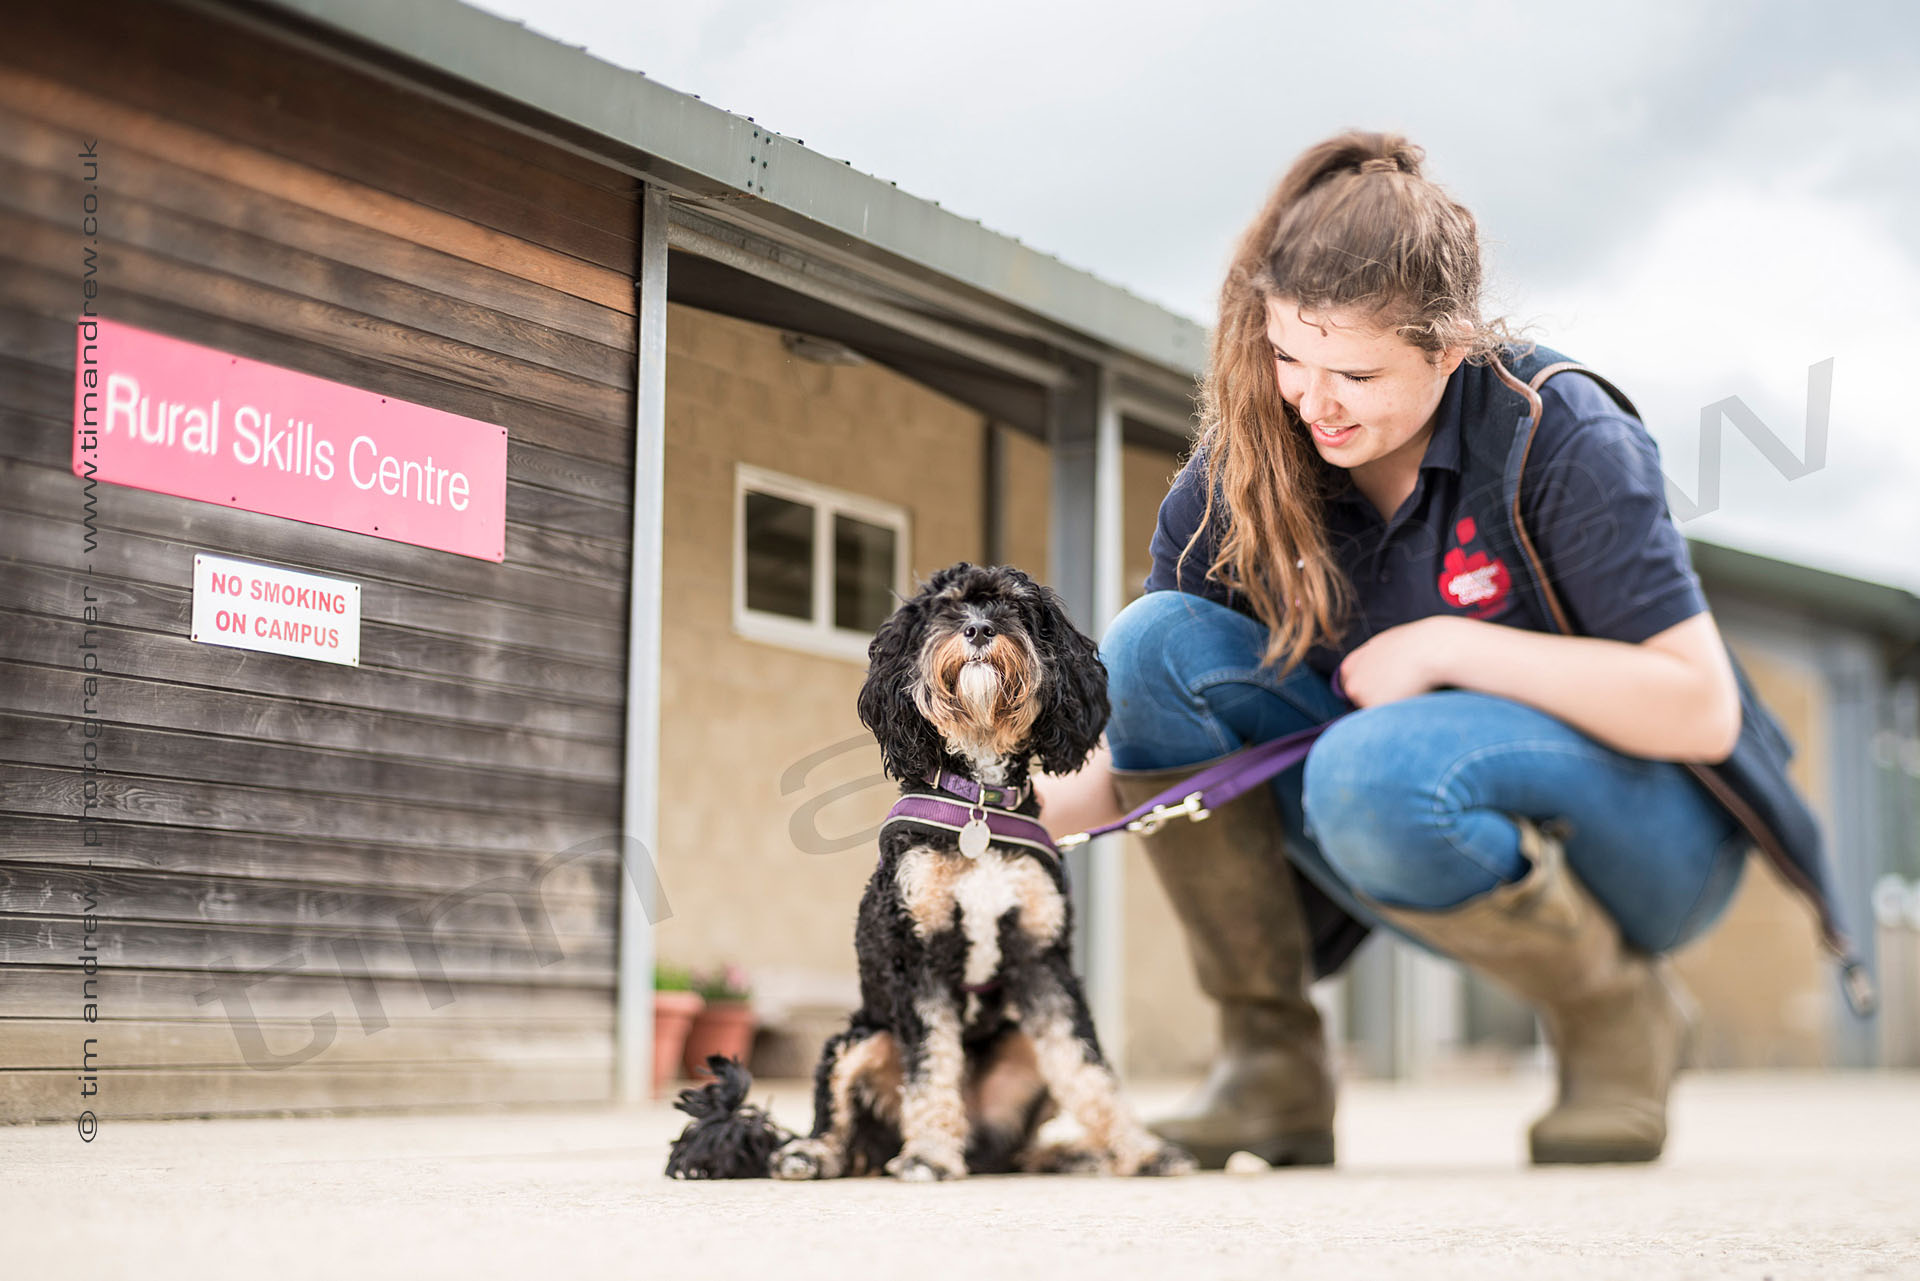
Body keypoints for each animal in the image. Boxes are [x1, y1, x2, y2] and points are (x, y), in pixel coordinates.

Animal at [668, 564, 1190, 1190]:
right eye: (946, 608)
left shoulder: (1042, 963)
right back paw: (812, 1154)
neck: (978, 804)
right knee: (841, 1126)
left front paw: (1142, 1151)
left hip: (1017, 1042)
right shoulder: (916, 958)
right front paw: (931, 1155)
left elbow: (1087, 1065)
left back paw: (1065, 1155)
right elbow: (931, 1064)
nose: (979, 629)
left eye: (1016, 608)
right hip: (861, 1037)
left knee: (1009, 1147)